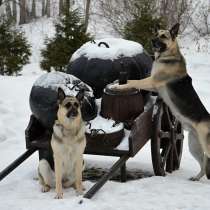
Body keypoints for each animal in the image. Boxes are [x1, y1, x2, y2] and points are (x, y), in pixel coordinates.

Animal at [112, 23, 210, 180]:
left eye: (163, 36)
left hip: (204, 145)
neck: (168, 55)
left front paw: (118, 86)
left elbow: (133, 82)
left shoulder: (151, 81)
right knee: (204, 163)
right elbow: (132, 81)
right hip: (194, 145)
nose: (152, 40)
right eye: (156, 34)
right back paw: (196, 177)